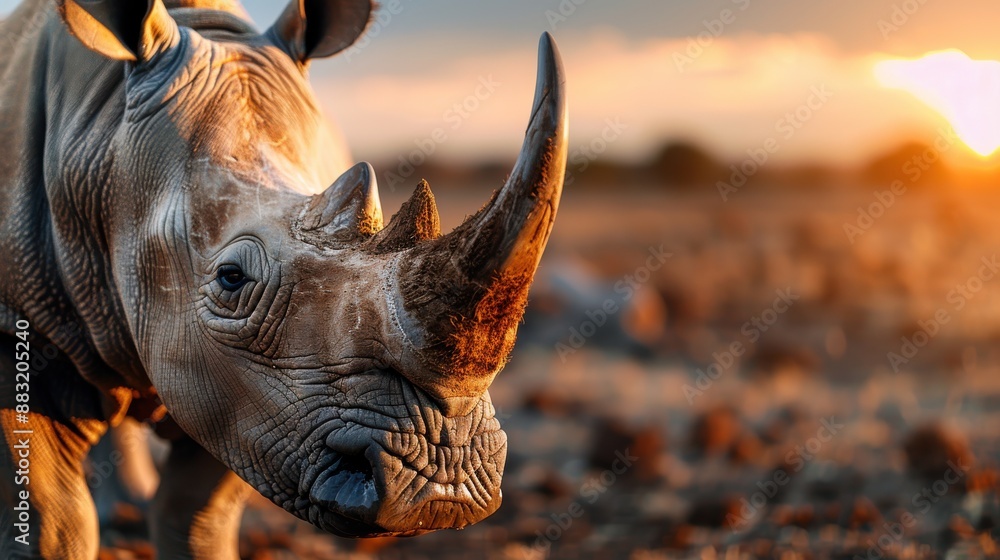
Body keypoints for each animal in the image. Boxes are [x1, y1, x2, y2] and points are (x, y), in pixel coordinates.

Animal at [0, 0, 568, 557]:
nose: (442, 488)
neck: (103, 149)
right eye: (231, 279)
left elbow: (197, 514)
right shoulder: (21, 325)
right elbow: (54, 521)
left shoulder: (253, 405)